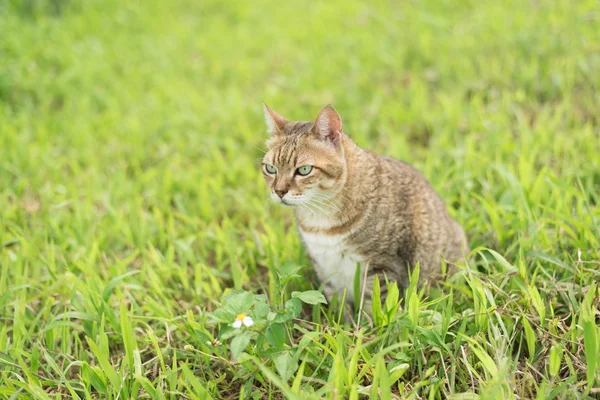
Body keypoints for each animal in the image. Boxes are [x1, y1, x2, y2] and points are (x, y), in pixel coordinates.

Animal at [260, 104, 466, 316]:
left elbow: (375, 305)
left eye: (304, 170)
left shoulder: (381, 267)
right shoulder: (324, 268)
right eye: (270, 168)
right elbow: (339, 307)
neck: (320, 216)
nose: (279, 191)